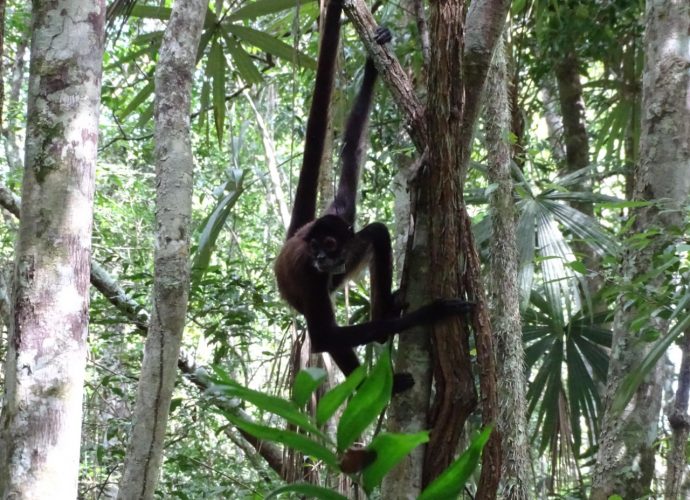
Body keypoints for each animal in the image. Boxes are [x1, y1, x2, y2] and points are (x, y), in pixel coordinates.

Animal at [275, 0, 472, 394]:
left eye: (329, 244)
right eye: (316, 248)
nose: (321, 256)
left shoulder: (341, 217)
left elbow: (351, 149)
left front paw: (370, 65)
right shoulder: (310, 274)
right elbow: (324, 338)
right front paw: (432, 313)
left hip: (338, 272)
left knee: (378, 232)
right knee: (329, 338)